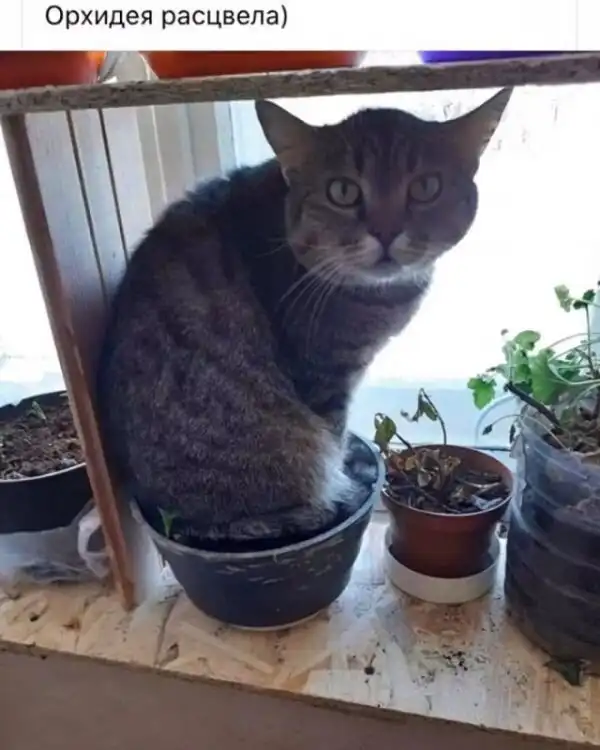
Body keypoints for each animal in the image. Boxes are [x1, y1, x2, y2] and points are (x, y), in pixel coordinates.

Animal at [96, 90, 511, 544]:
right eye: (343, 191)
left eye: (426, 187)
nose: (386, 231)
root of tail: (168, 514)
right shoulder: (326, 376)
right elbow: (337, 433)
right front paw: (346, 474)